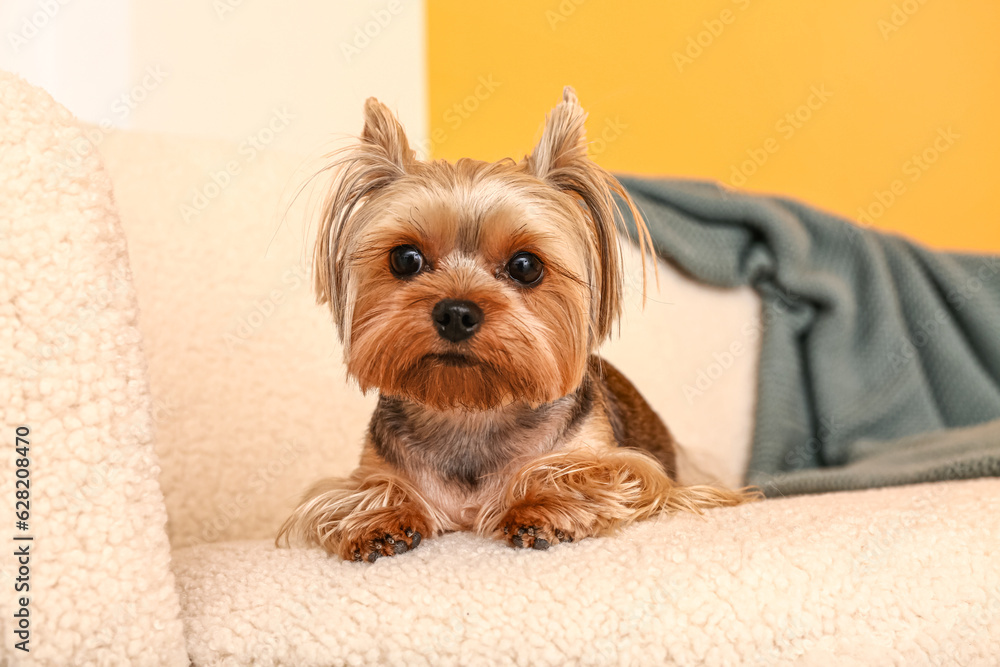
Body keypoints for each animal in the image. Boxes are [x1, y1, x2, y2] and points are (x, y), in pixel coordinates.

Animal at [278, 86, 752, 560]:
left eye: (526, 266)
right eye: (405, 258)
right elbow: (364, 488)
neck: (471, 411)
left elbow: (579, 471)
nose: (456, 313)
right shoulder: (367, 471)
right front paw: (379, 520)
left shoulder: (631, 468)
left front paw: (541, 508)